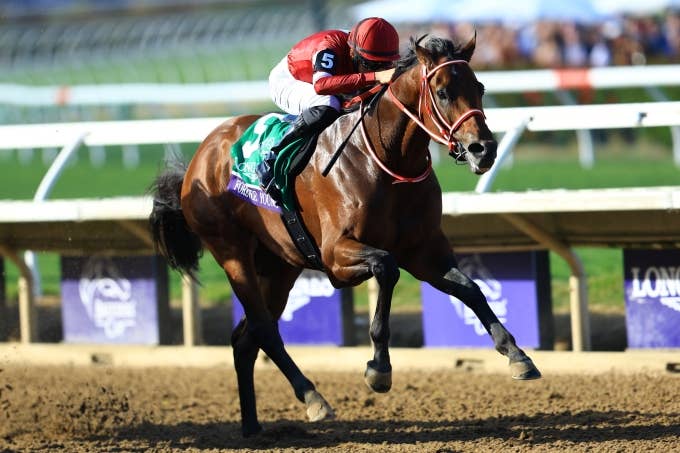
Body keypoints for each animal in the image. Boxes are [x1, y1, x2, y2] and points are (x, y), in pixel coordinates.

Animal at [149, 34, 541, 437]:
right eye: (444, 92)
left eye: (479, 87)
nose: (484, 149)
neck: (387, 160)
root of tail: (201, 155)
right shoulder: (336, 254)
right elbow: (387, 268)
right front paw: (379, 369)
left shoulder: (424, 251)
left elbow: (470, 289)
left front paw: (517, 355)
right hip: (232, 253)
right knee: (264, 329)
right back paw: (313, 398)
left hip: (278, 267)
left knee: (246, 339)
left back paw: (252, 426)